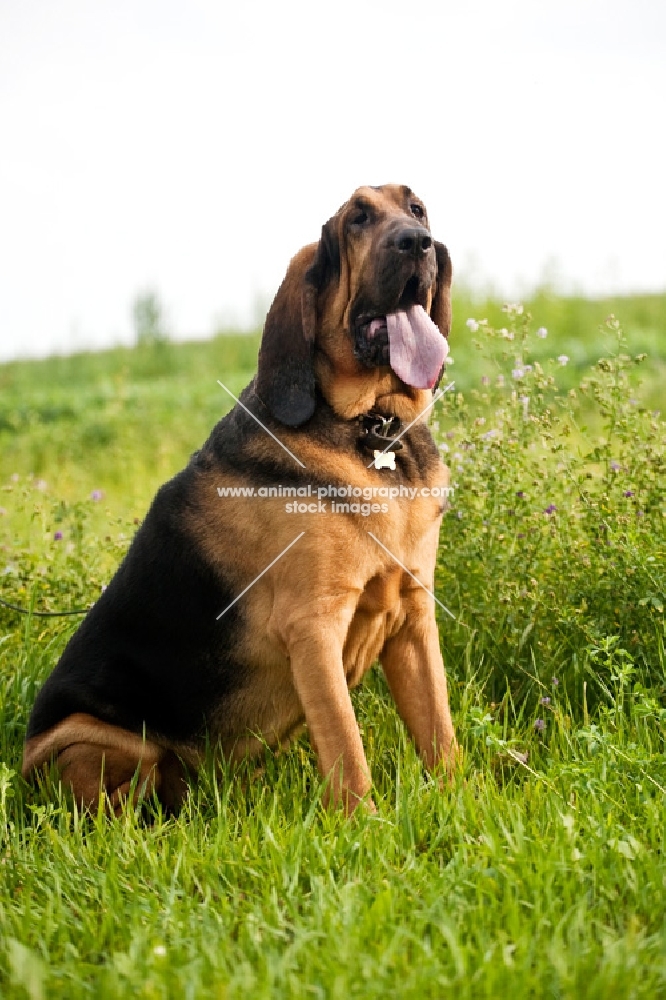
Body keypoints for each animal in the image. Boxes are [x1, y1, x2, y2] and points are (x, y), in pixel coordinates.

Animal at [20, 184, 456, 816]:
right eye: (357, 219)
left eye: (418, 209)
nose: (417, 243)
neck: (373, 429)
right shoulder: (314, 627)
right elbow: (347, 749)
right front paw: (366, 823)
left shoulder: (414, 618)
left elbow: (440, 735)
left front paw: (465, 800)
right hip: (94, 742)